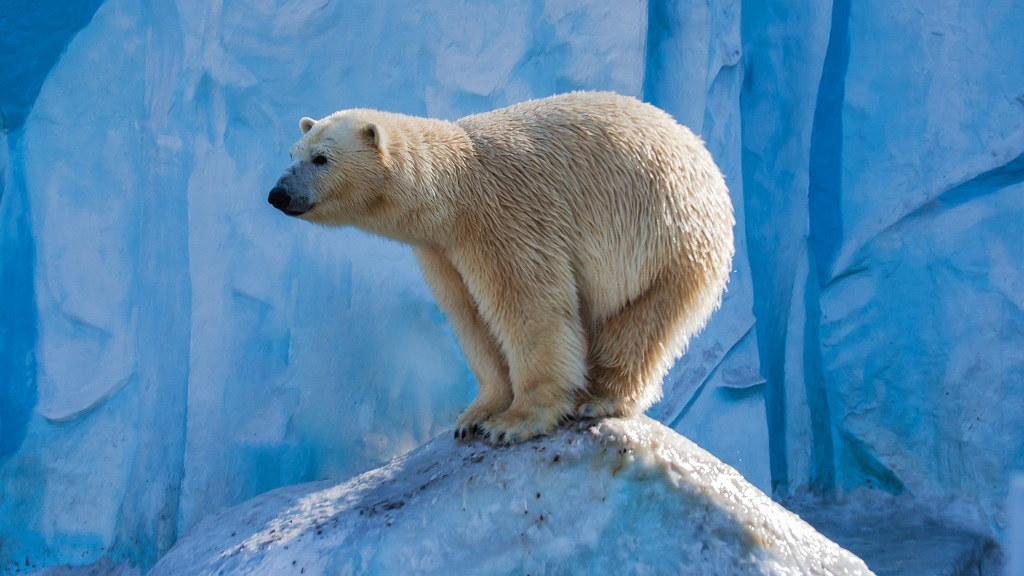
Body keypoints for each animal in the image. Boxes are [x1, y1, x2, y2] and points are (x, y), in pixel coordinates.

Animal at [270, 91, 737, 444]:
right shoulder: (442, 251)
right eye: (292, 153)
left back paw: (600, 397)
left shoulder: (507, 221)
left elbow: (529, 309)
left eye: (321, 159)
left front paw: (514, 422)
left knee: (641, 321)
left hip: (669, 239)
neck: (455, 189)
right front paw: (474, 416)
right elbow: (471, 318)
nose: (278, 194)